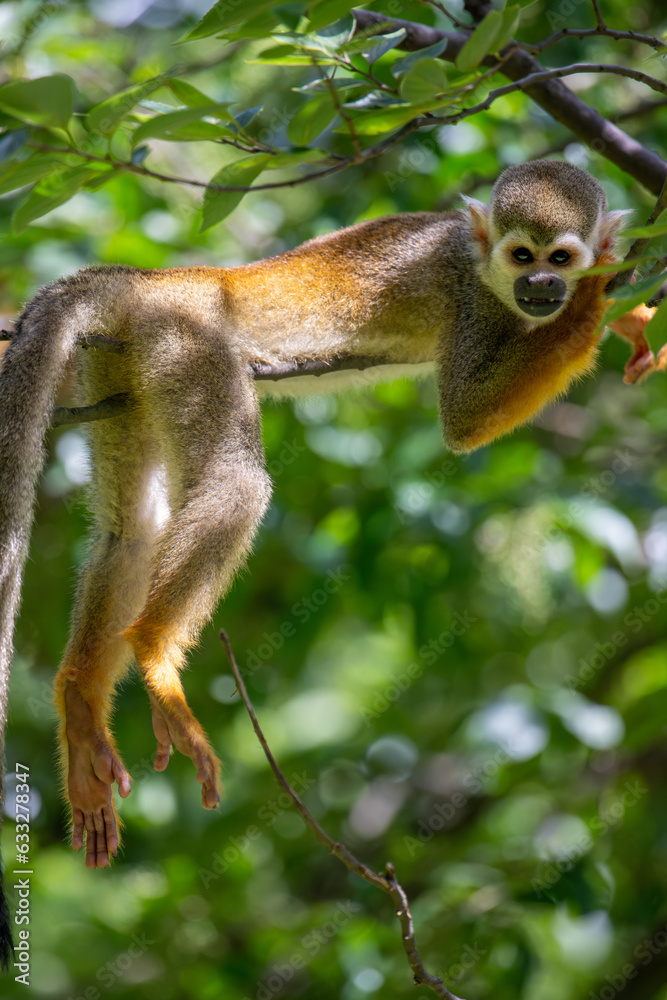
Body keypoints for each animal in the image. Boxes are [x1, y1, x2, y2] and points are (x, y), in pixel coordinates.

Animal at [0, 159, 661, 959]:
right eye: (521, 256)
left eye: (557, 257)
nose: (545, 288)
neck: (492, 282)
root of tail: (158, 279)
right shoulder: (473, 304)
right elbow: (465, 419)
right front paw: (603, 294)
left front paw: (630, 314)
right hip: (186, 343)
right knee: (237, 482)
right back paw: (155, 654)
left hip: (118, 364)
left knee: (132, 530)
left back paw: (79, 702)